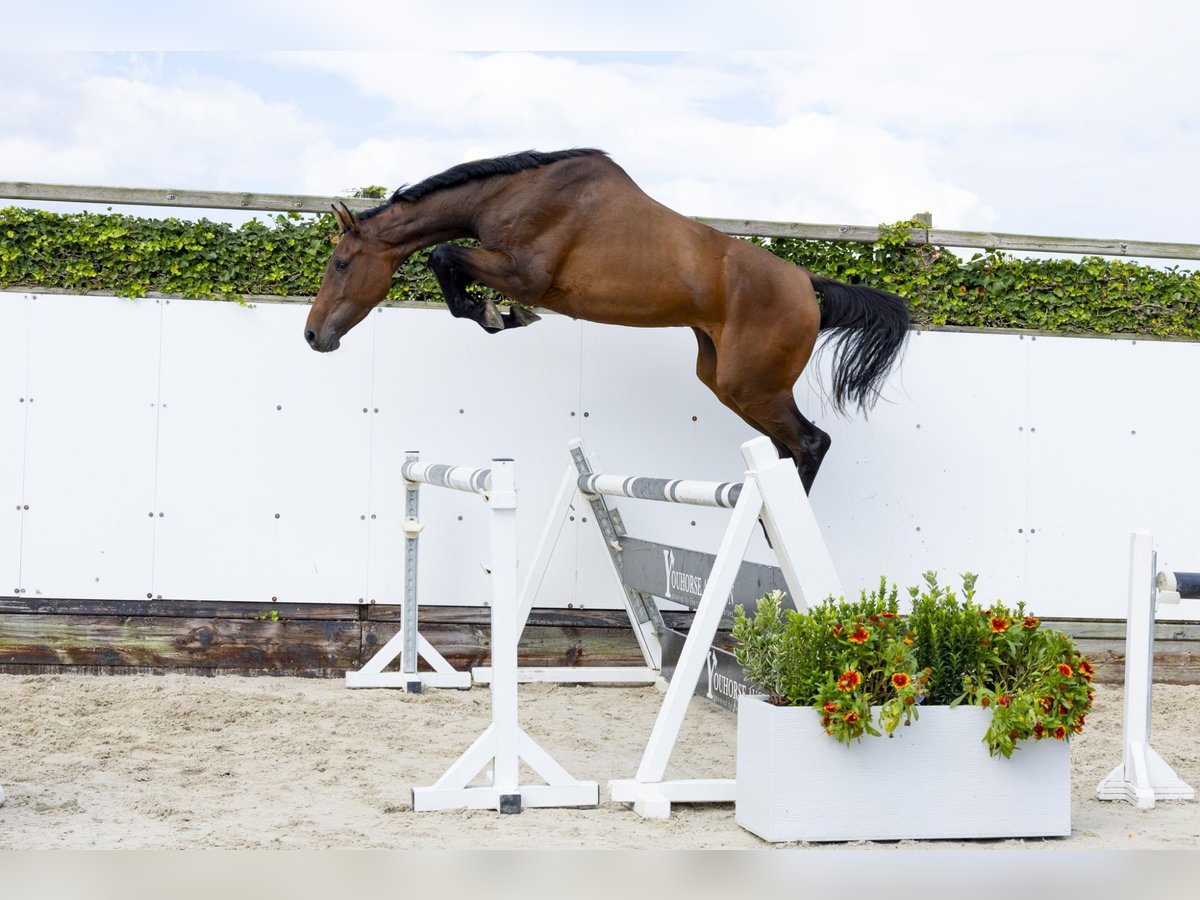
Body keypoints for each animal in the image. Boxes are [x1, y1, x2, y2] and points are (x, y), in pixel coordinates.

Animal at [304, 148, 902, 489]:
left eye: (340, 263)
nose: (313, 335)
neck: (511, 193)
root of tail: (807, 283)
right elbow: (448, 262)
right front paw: (497, 313)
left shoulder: (524, 272)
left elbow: (444, 255)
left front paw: (497, 314)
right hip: (726, 382)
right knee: (788, 448)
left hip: (752, 385)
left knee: (811, 443)